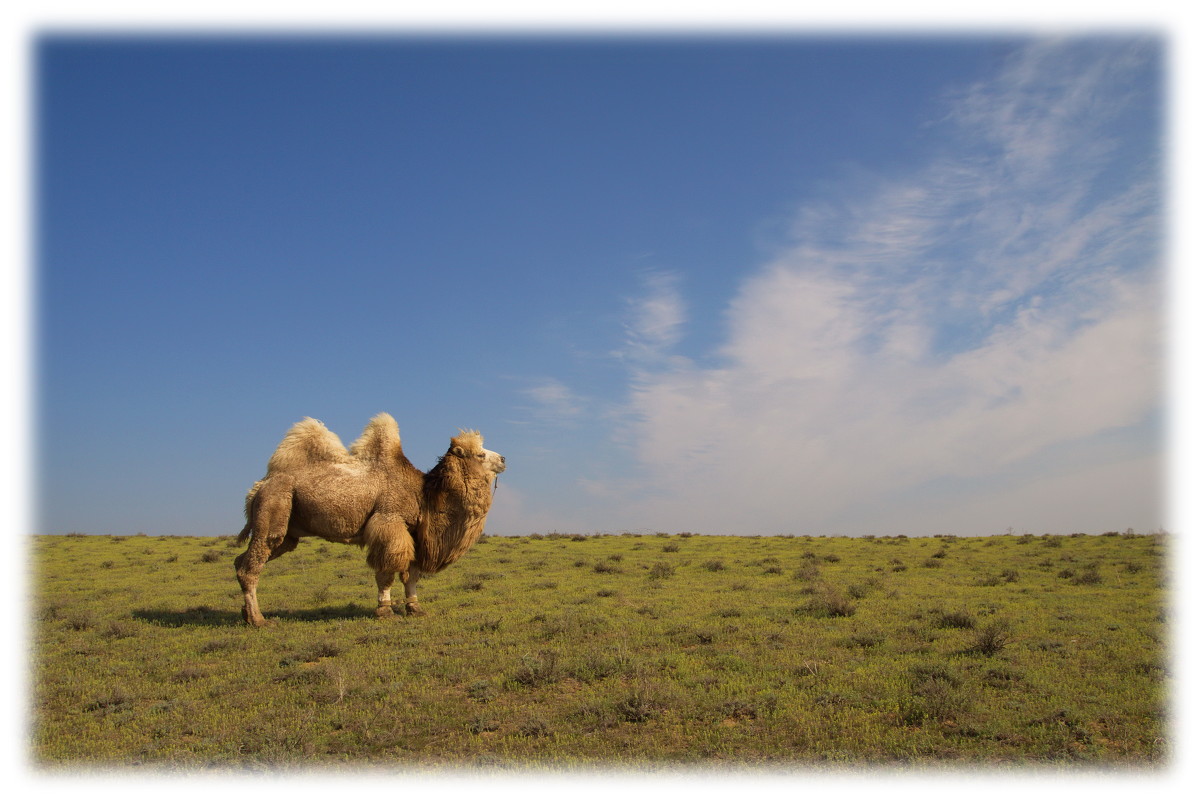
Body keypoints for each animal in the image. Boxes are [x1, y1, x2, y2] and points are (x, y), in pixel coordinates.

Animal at [231, 417, 504, 628]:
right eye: (480, 454)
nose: (503, 458)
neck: (422, 494)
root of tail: (258, 487)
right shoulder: (389, 523)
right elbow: (387, 572)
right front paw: (385, 611)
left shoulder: (414, 534)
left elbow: (412, 575)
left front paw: (415, 608)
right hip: (274, 507)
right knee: (251, 567)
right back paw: (259, 620)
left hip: (288, 532)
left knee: (242, 561)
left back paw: (246, 614)